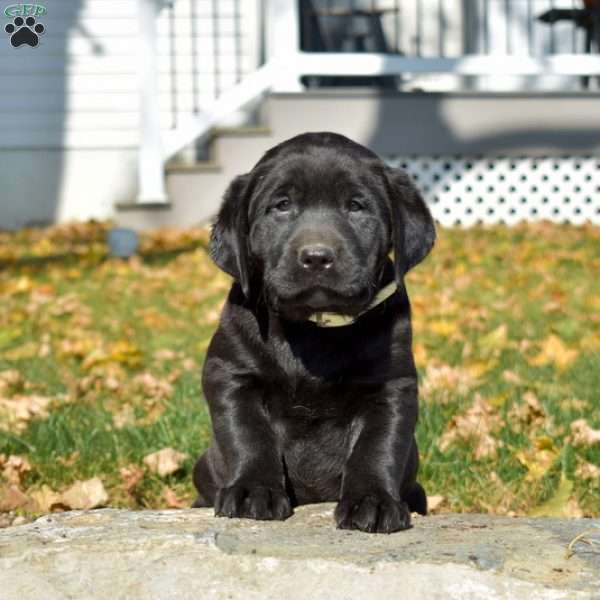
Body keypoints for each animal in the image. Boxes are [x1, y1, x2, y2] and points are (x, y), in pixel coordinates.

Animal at [195, 131, 434, 536]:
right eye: (282, 206)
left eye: (356, 206)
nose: (317, 256)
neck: (313, 329)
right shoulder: (229, 374)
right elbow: (247, 434)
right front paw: (251, 492)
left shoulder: (391, 386)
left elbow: (377, 446)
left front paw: (373, 502)